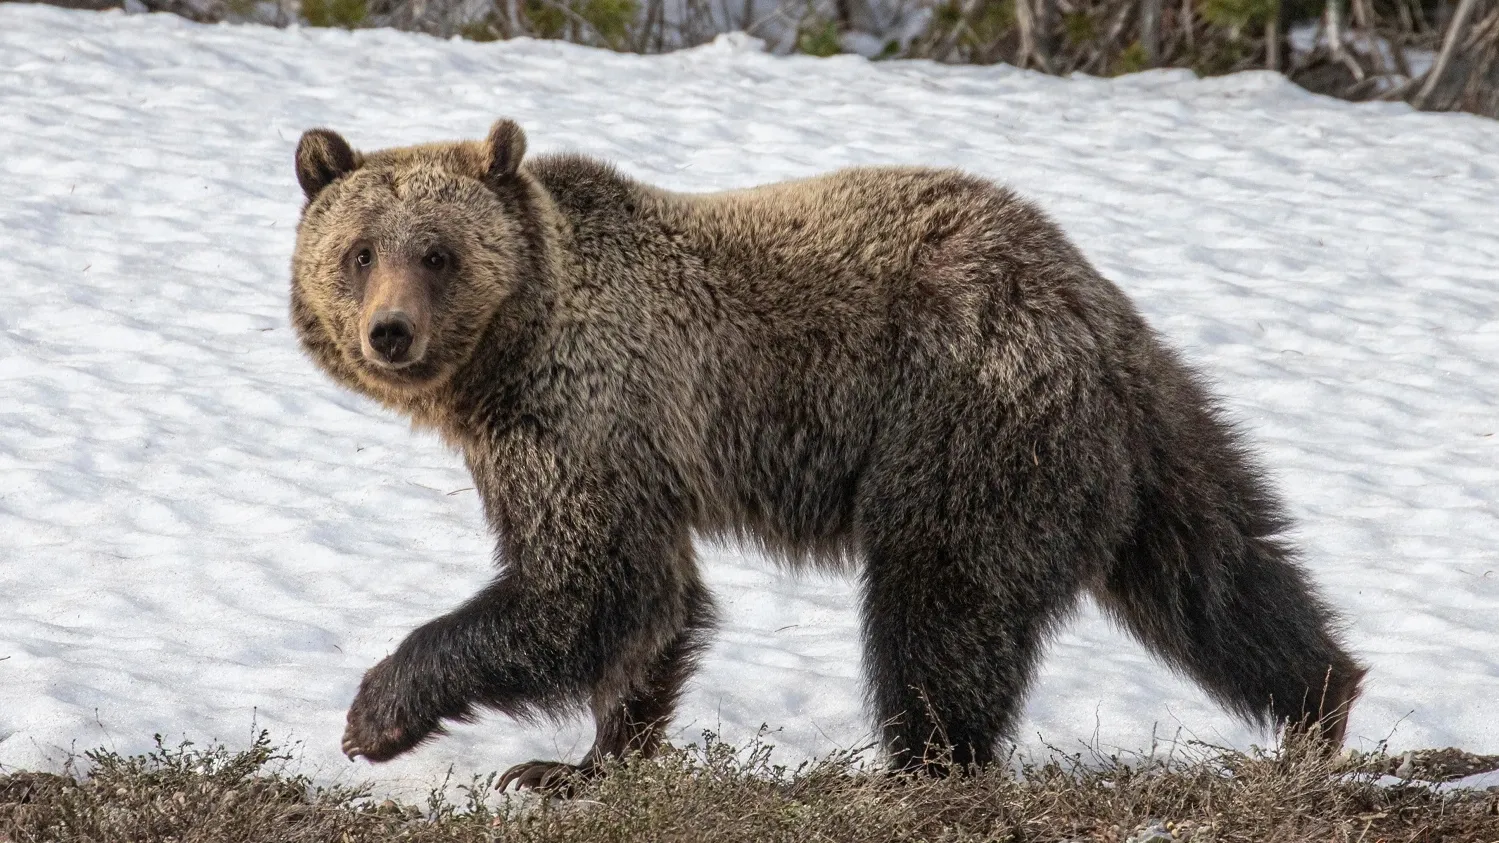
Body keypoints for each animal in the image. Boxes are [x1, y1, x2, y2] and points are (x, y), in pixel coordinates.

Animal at [286, 118, 1367, 786]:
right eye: (358, 251)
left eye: (437, 252)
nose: (389, 333)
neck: (507, 357)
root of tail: (1086, 307)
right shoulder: (604, 449)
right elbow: (654, 604)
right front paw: (574, 766)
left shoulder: (585, 413)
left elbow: (583, 589)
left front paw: (377, 713)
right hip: (1151, 438)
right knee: (1220, 574)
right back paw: (1320, 704)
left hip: (961, 426)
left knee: (941, 609)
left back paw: (922, 768)